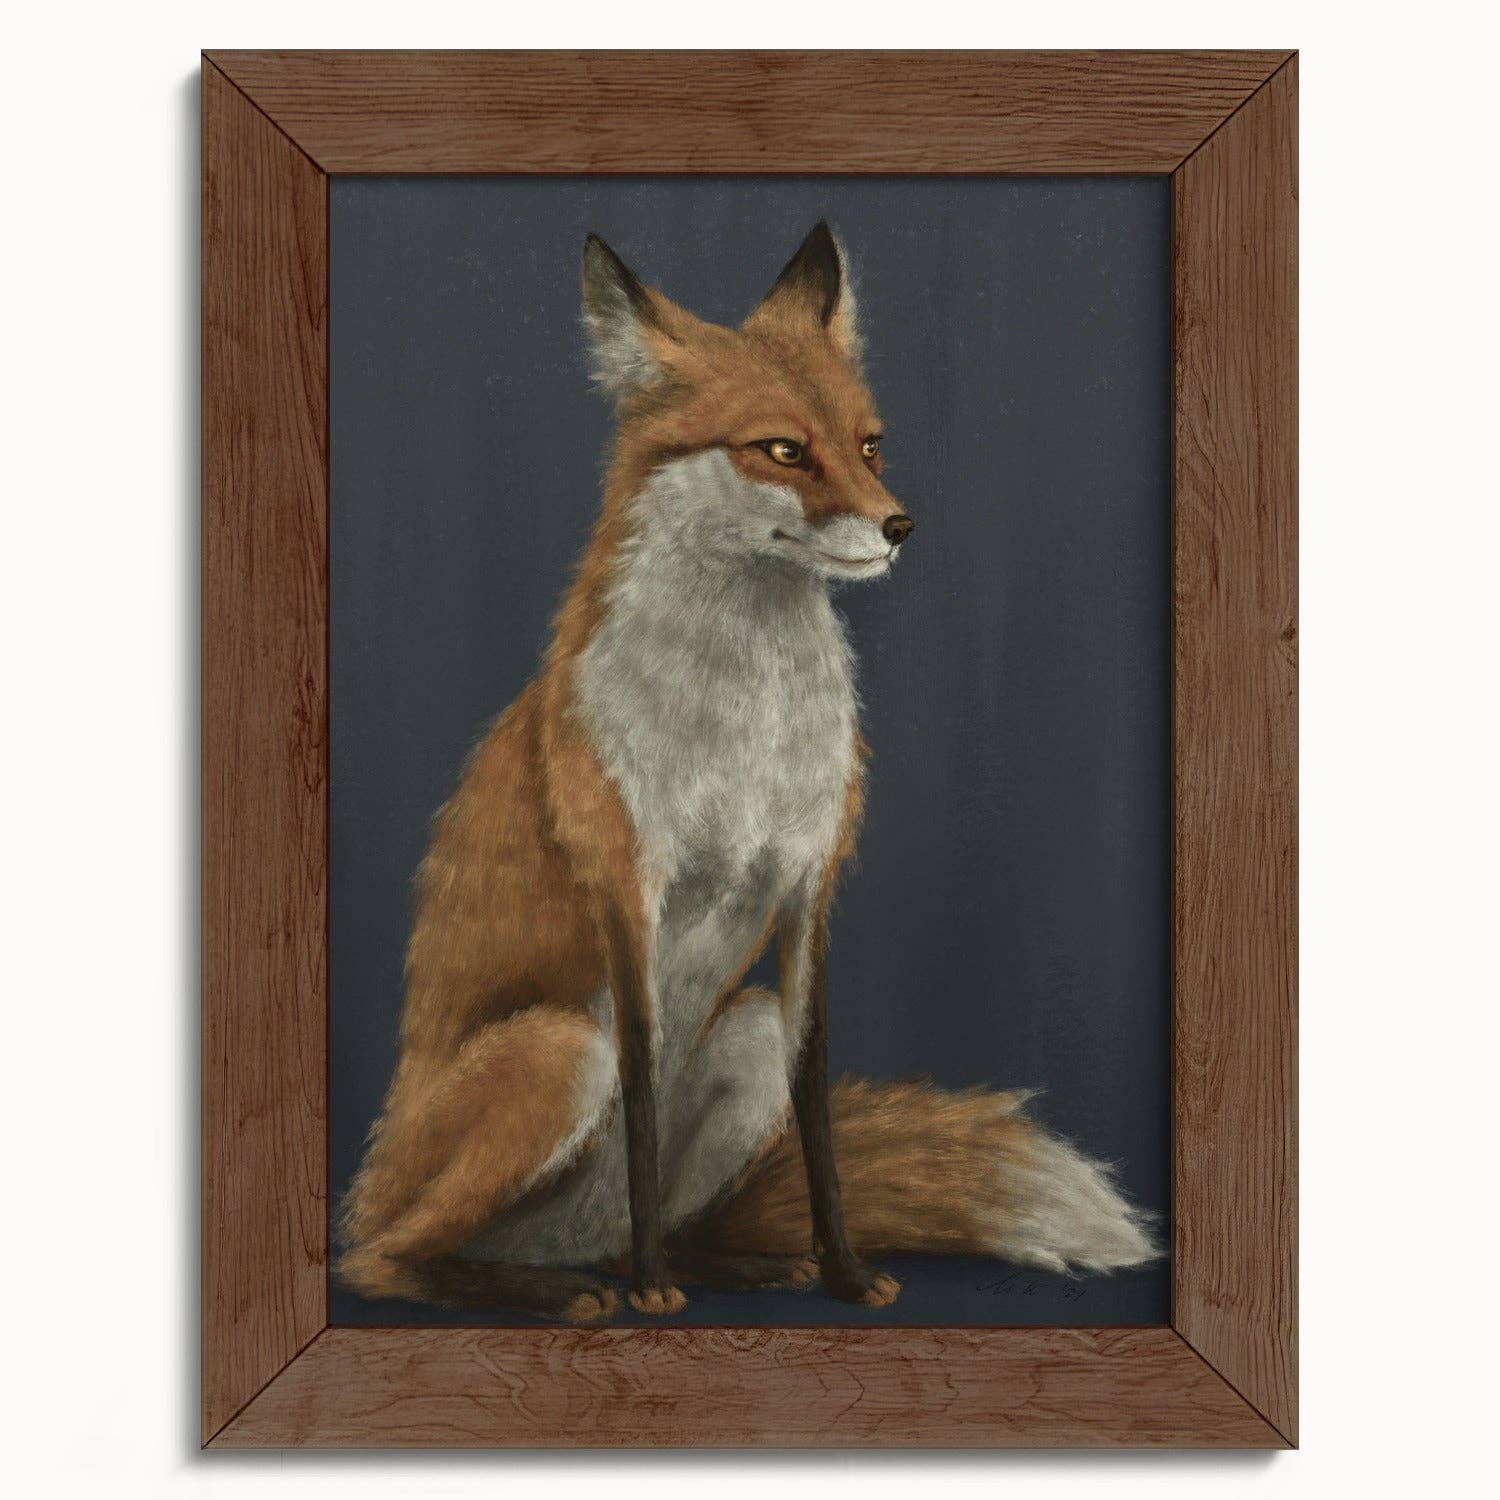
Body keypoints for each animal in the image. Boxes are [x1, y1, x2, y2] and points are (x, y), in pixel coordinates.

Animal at [337, 223, 1157, 1322]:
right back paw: (564, 1288)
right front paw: (653, 1294)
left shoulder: (809, 888)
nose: (899, 526)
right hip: (559, 1051)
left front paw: (844, 1271)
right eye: (781, 450)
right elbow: (642, 1100)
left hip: (745, 1031)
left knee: (666, 1217)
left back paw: (723, 1264)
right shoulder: (628, 890)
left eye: (869, 444)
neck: (746, 731)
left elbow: (817, 1114)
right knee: (384, 1259)